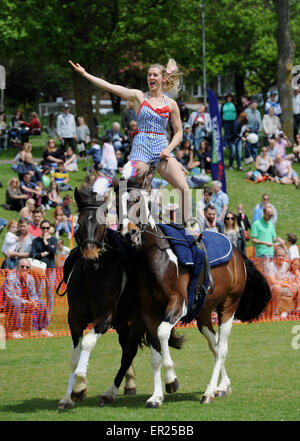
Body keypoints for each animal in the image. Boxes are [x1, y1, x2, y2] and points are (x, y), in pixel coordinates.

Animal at [57, 185, 136, 410]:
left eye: (102, 225)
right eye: (80, 223)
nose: (91, 259)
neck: (91, 277)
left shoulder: (105, 318)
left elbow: (87, 343)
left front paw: (79, 387)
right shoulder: (74, 319)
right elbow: (74, 355)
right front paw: (68, 397)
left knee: (130, 352)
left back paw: (111, 392)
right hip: (122, 324)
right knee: (126, 349)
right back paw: (129, 382)